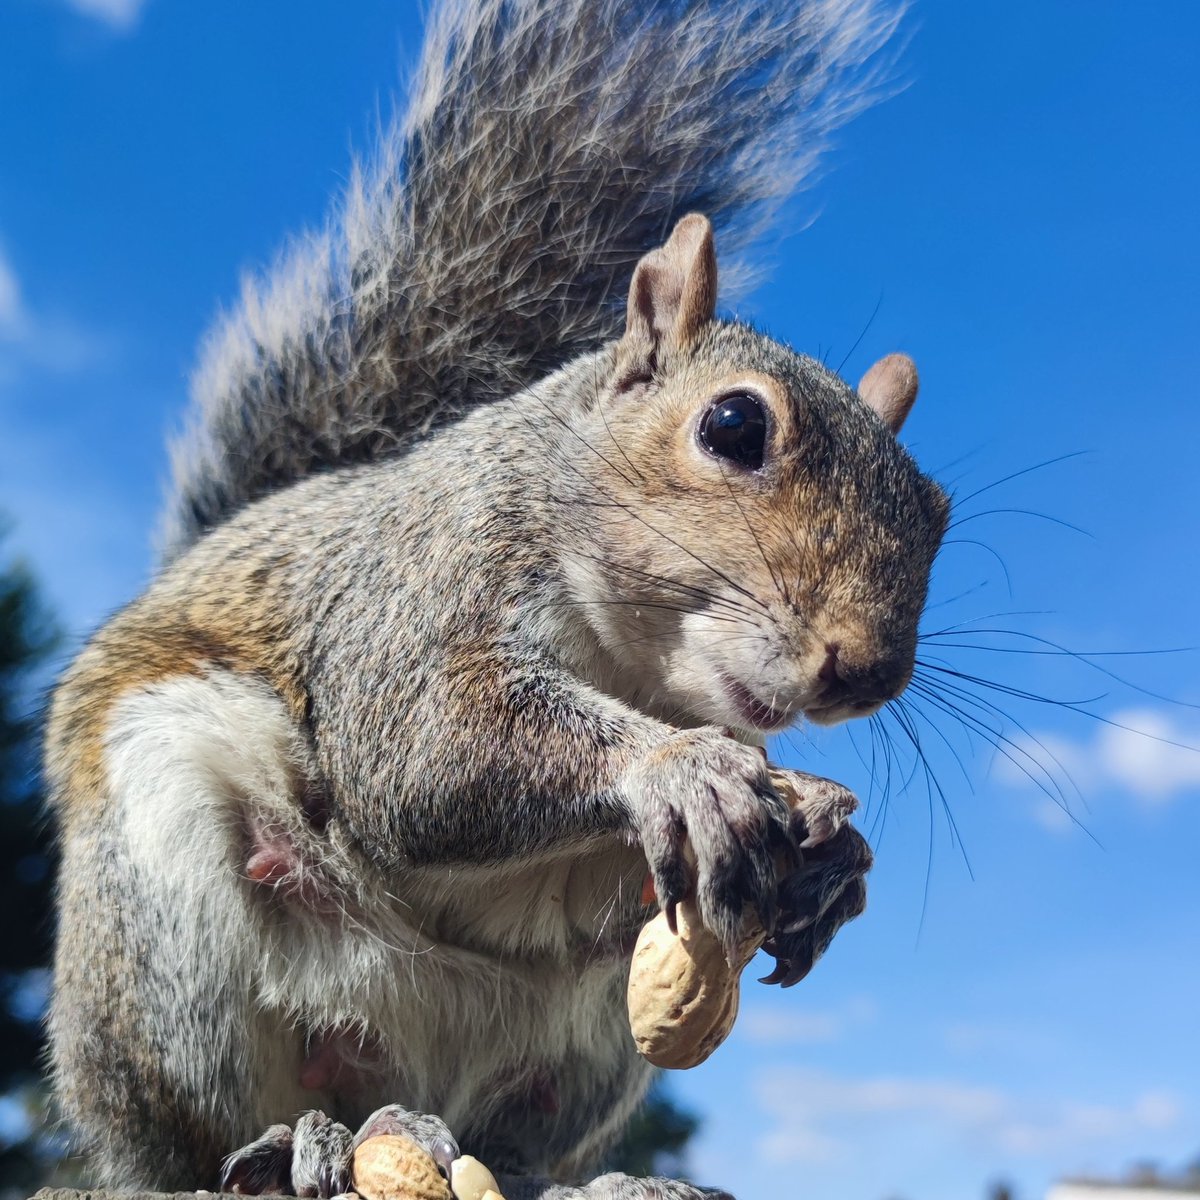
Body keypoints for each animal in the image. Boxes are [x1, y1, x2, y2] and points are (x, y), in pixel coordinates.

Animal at [44, 1, 949, 1198]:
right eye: (734, 425)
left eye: (938, 511)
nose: (867, 670)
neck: (630, 667)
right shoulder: (415, 589)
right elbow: (426, 746)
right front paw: (680, 770)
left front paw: (832, 861)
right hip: (161, 922)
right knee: (193, 1136)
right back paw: (284, 1143)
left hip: (579, 1054)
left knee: (509, 1141)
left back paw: (586, 1175)